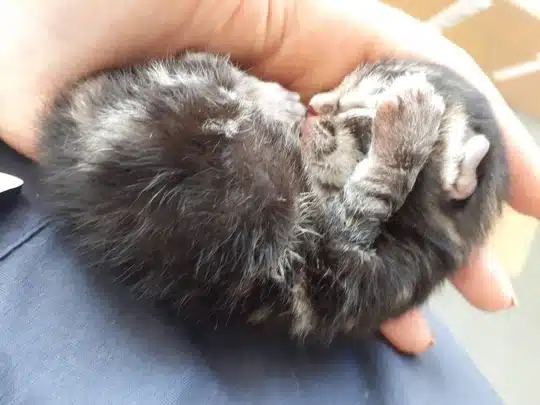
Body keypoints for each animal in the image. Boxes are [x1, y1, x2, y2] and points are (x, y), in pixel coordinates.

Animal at [40, 52, 508, 344]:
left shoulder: (343, 266)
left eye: (363, 121)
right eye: (344, 85)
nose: (317, 105)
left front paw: (408, 130)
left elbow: (371, 195)